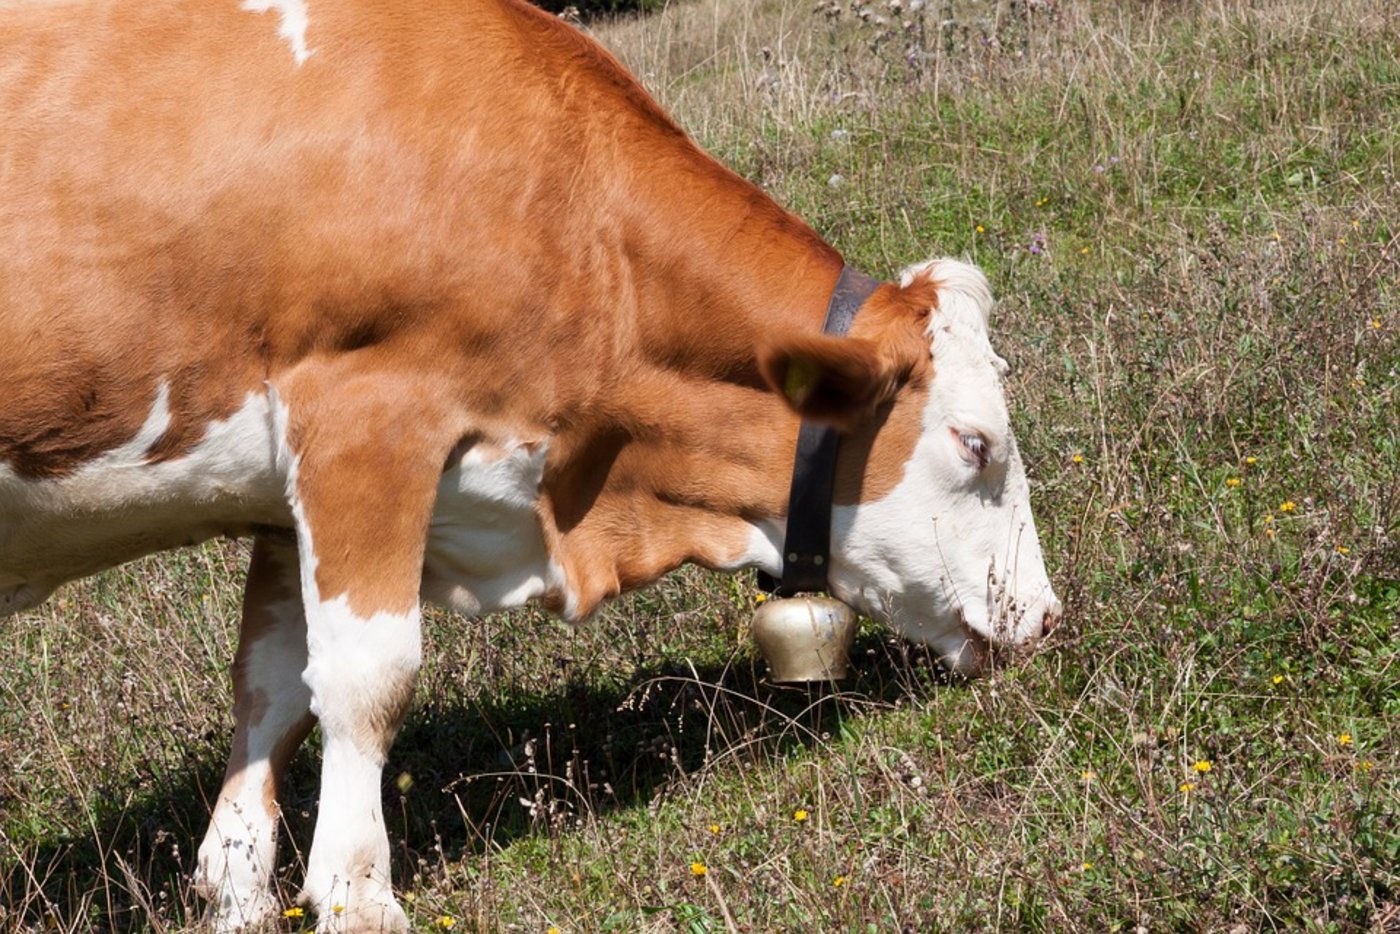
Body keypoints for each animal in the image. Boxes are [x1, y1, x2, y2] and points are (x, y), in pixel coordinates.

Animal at [0, 0, 1061, 929]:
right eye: (975, 442)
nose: (1048, 616)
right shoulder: (364, 418)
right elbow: (368, 676)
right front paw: (357, 896)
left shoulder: (284, 497)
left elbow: (273, 685)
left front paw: (237, 895)